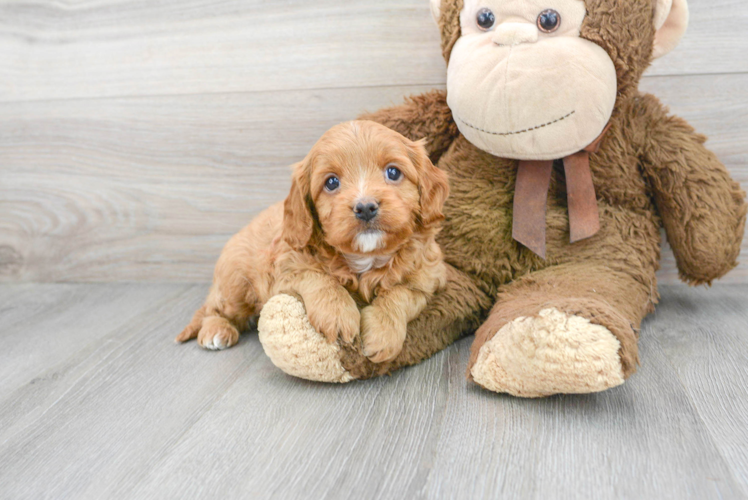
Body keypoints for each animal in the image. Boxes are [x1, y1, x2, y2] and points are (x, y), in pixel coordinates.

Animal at [178, 121, 448, 364]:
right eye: (331, 182)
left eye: (393, 172)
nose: (365, 207)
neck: (365, 258)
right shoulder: (286, 267)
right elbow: (319, 278)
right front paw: (338, 315)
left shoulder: (425, 279)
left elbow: (399, 294)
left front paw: (383, 333)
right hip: (235, 286)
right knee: (214, 310)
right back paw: (215, 331)